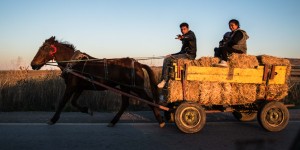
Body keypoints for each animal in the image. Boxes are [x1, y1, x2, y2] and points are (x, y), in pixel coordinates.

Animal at [31, 35, 164, 127]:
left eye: (44, 48)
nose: (33, 64)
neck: (73, 64)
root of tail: (138, 64)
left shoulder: (71, 86)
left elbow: (63, 102)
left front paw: (52, 119)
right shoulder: (79, 87)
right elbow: (73, 102)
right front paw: (87, 110)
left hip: (136, 87)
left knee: (149, 100)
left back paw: (160, 120)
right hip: (125, 87)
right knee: (125, 104)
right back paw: (113, 121)